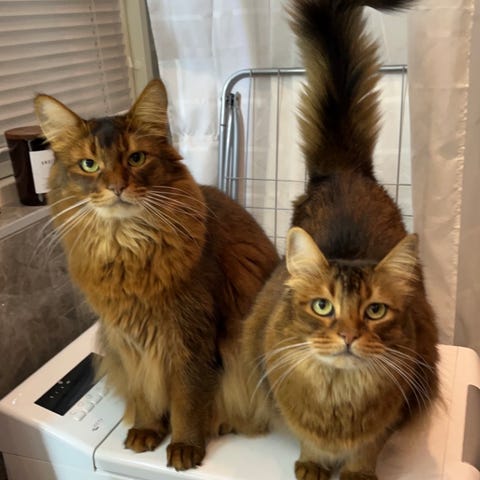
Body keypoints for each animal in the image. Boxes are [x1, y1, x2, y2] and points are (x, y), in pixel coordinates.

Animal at [33, 78, 279, 471]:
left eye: (136, 158)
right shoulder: (128, 341)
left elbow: (187, 399)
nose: (116, 187)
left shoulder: (189, 337)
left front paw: (185, 445)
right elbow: (144, 390)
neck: (126, 255)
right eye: (89, 164)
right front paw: (148, 429)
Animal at [236, 1, 440, 479]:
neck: (338, 396)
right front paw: (312, 464)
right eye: (322, 307)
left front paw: (357, 472)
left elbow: (368, 447)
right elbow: (307, 439)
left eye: (375, 310)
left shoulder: (396, 405)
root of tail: (345, 170)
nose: (347, 335)